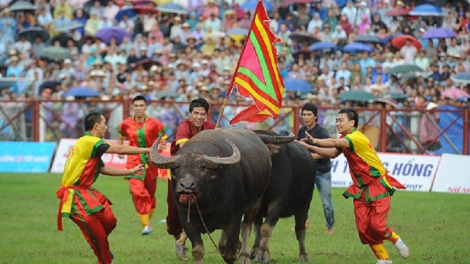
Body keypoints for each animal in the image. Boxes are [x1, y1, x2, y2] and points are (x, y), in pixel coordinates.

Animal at [151, 127, 294, 262]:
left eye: (203, 167)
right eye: (176, 167)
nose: (186, 186)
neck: (207, 205)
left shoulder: (234, 219)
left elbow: (231, 253)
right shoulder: (187, 221)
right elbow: (198, 251)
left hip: (255, 203)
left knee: (246, 227)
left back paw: (244, 256)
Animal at [250, 131, 316, 262]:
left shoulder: (277, 202)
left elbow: (266, 229)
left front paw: (263, 254)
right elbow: (257, 229)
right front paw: (254, 251)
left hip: (304, 205)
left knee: (300, 229)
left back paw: (303, 255)